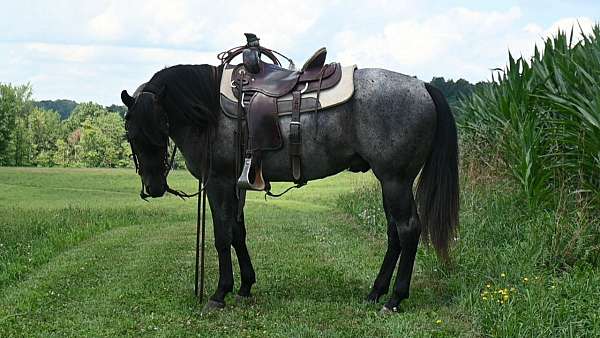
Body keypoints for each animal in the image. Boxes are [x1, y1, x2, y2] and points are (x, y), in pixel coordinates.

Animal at [122, 59, 460, 312]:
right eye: (132, 134)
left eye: (157, 128)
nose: (153, 187)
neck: (210, 113)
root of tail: (422, 86)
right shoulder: (236, 185)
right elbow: (237, 233)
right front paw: (245, 285)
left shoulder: (218, 183)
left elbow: (222, 236)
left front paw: (220, 293)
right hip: (389, 182)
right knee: (394, 234)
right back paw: (376, 292)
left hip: (395, 180)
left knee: (408, 230)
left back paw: (394, 298)